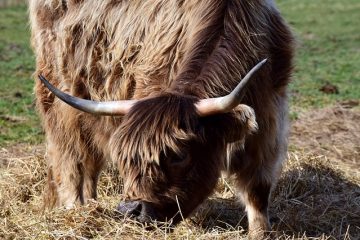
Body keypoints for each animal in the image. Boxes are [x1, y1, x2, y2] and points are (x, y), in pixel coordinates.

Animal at [29, 0, 294, 238]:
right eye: (125, 158)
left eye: (178, 155)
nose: (131, 211)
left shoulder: (269, 117)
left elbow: (257, 189)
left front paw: (260, 233)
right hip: (60, 107)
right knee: (70, 162)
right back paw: (76, 209)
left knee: (90, 163)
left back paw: (93, 206)